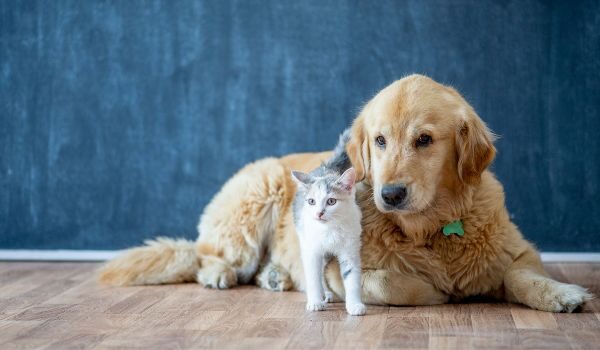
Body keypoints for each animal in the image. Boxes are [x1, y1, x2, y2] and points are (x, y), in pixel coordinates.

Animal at [290, 130, 366, 316]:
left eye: (331, 201)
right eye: (311, 201)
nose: (319, 213)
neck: (330, 229)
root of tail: (325, 168)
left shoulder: (350, 250)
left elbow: (352, 279)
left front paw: (354, 305)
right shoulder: (311, 251)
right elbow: (313, 277)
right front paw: (315, 302)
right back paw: (324, 294)